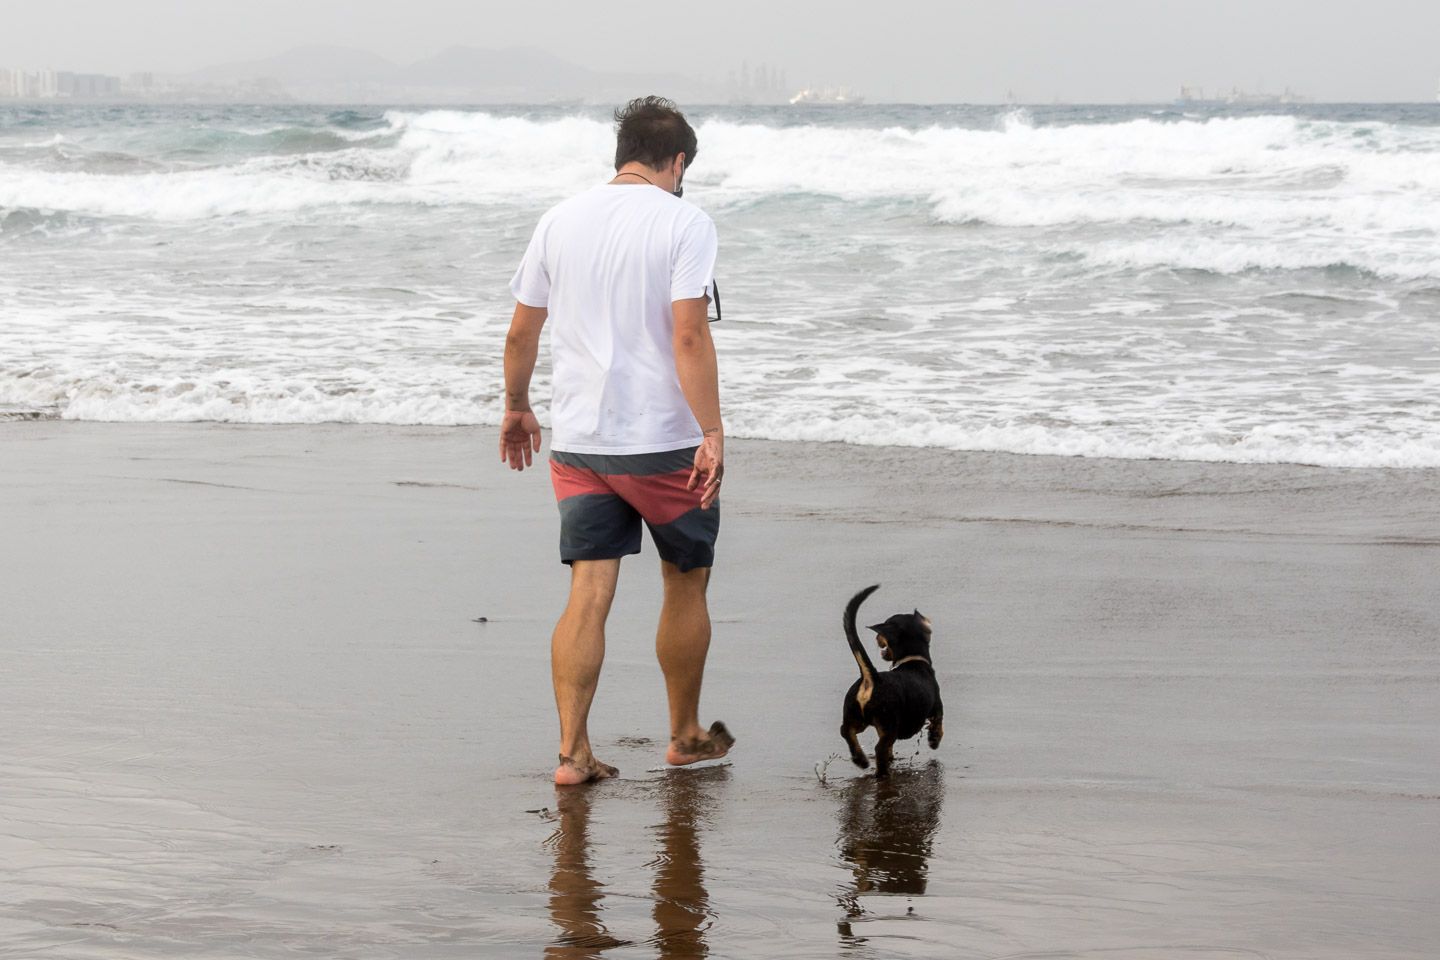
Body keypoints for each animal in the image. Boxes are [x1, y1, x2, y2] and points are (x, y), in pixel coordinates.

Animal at [840, 587, 938, 782]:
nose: (878, 638)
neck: (912, 659)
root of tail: (871, 678)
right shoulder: (937, 706)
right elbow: (938, 724)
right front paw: (934, 740)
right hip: (888, 722)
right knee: (880, 748)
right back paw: (882, 773)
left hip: (856, 717)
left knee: (846, 731)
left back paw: (861, 759)